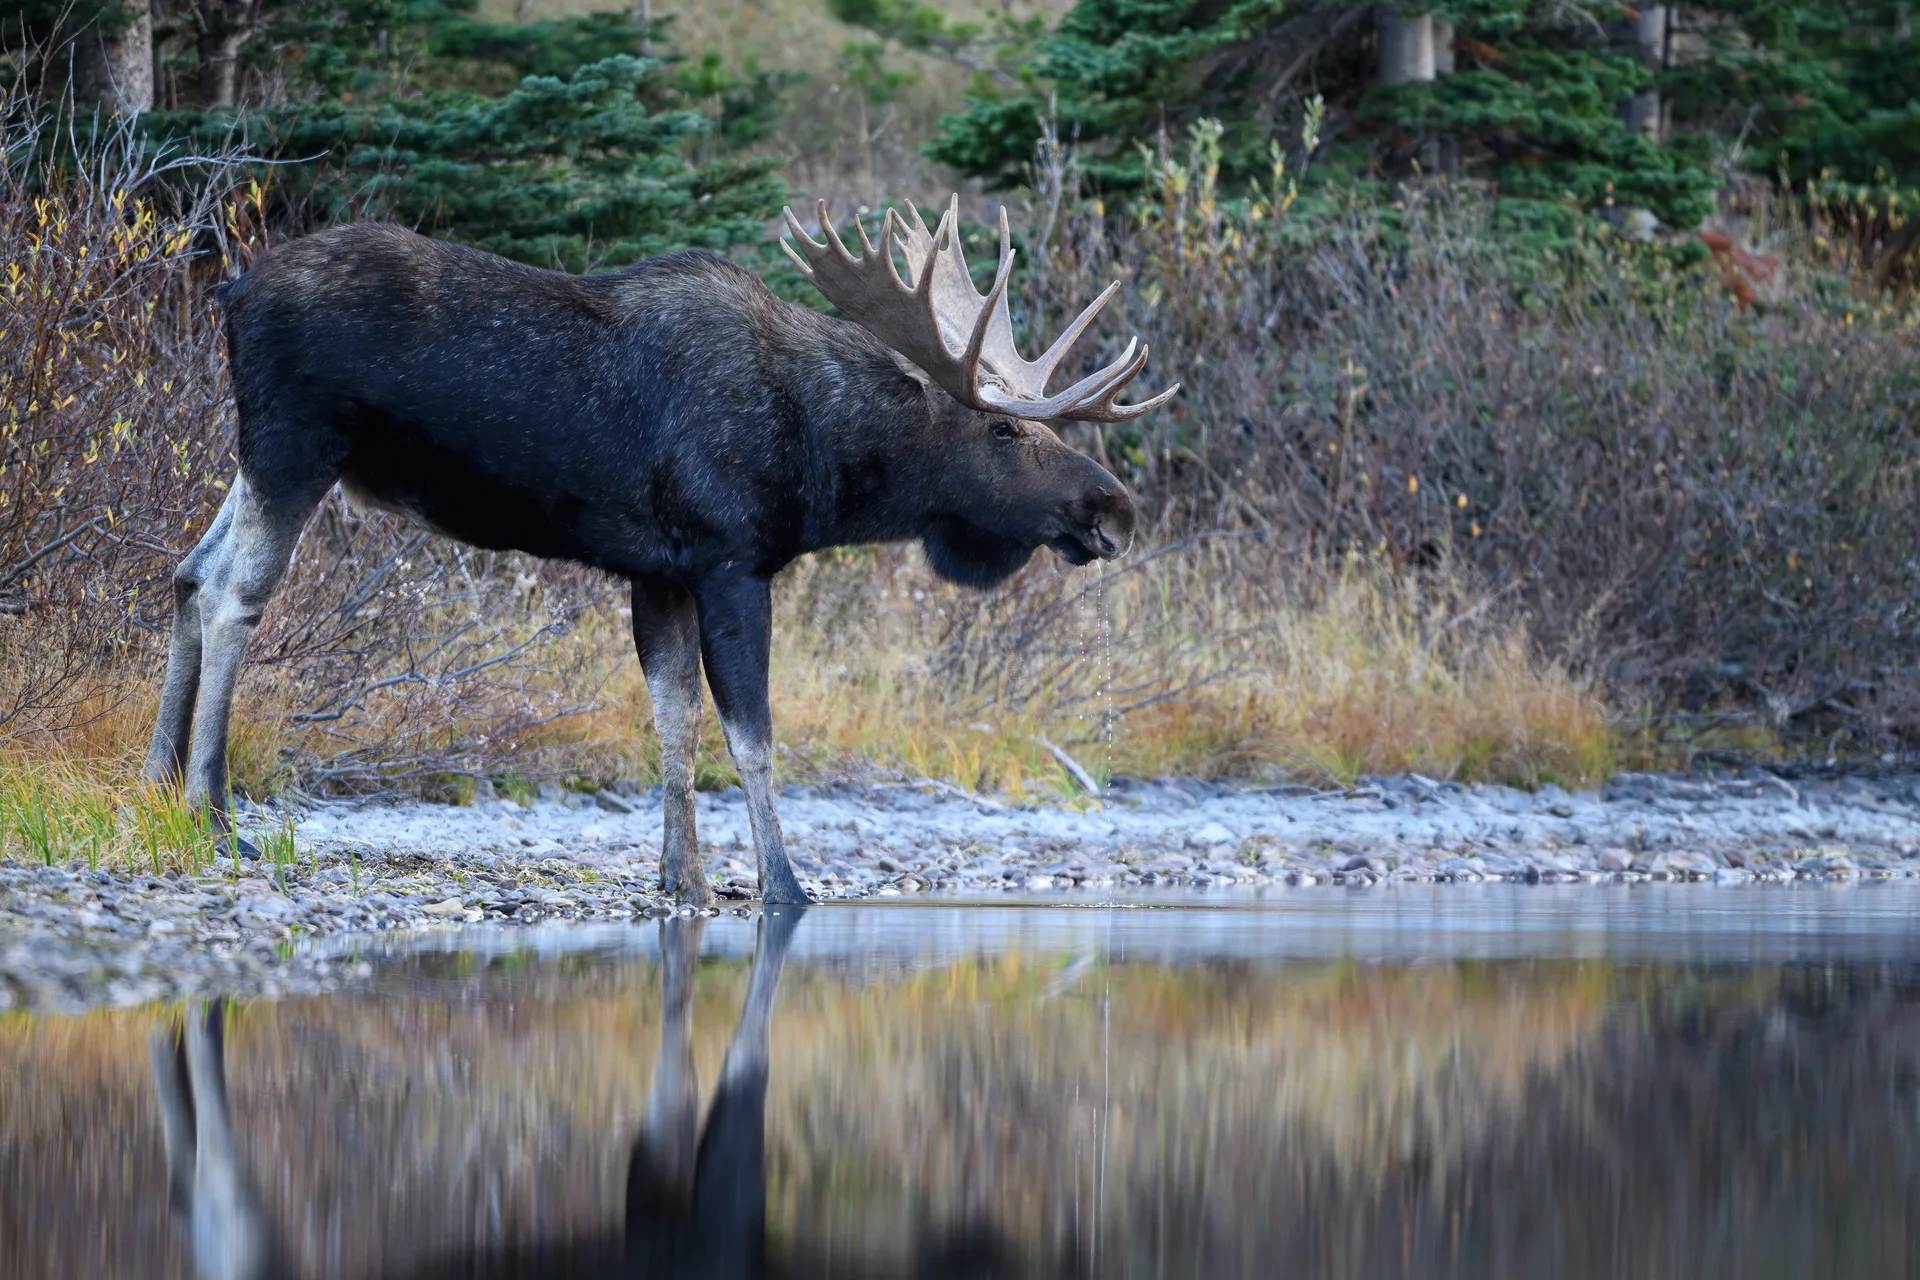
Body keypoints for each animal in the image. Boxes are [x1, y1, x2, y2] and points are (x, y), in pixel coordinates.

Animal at [141, 195, 1176, 905]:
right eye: (1005, 432)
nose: (1114, 509)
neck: (825, 460)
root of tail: (231, 290)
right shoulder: (731, 562)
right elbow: (751, 734)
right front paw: (782, 885)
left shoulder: (658, 572)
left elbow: (673, 720)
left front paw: (684, 878)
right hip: (297, 442)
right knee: (234, 592)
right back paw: (214, 813)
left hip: (262, 455)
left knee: (187, 572)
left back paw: (155, 785)